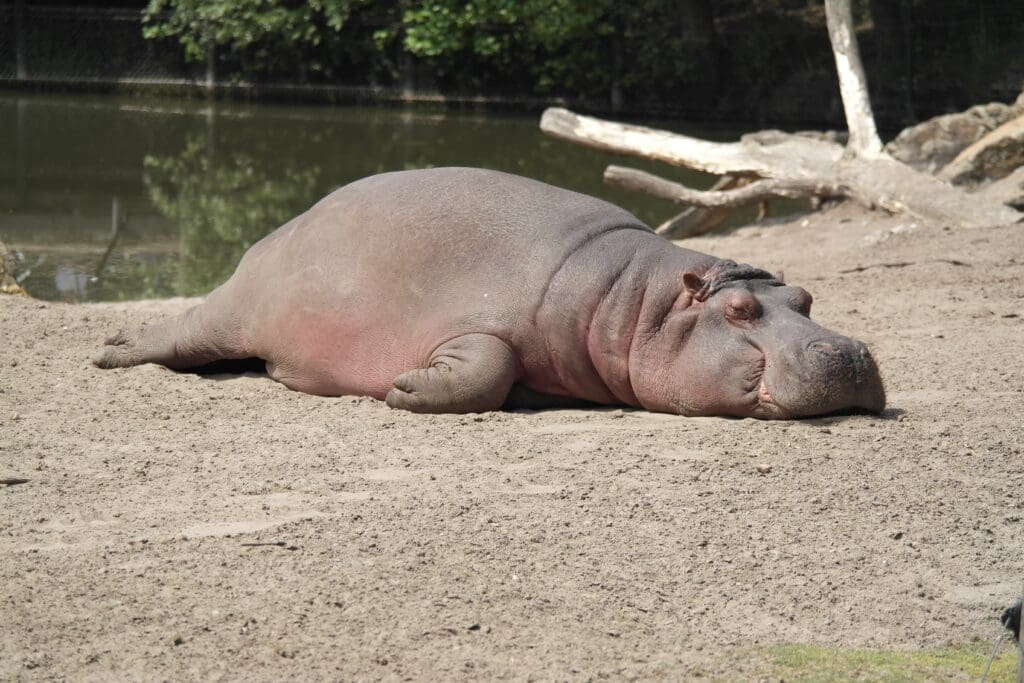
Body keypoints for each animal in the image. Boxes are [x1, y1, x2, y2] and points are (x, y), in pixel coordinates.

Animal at [94, 167, 885, 418]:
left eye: (807, 297)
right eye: (739, 310)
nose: (847, 352)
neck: (636, 301)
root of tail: (271, 235)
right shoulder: (475, 324)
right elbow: (487, 366)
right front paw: (405, 388)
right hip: (231, 312)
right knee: (179, 334)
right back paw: (110, 349)